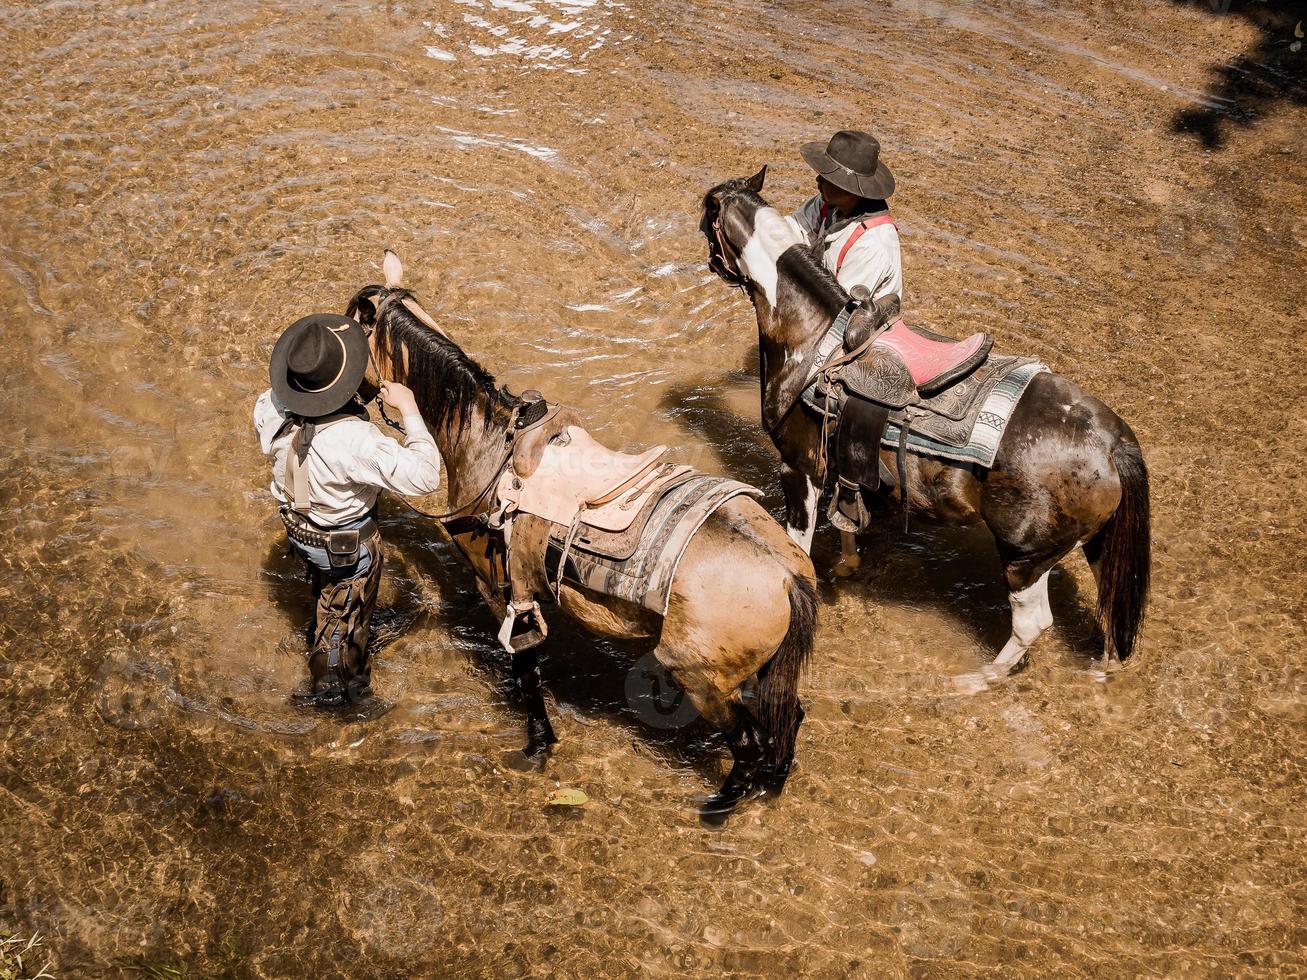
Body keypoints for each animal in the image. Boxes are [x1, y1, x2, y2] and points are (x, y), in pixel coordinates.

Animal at [700, 171, 1150, 689]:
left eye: (708, 217)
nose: (706, 256)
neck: (812, 339)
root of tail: (1112, 443)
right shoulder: (841, 462)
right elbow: (848, 511)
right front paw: (849, 562)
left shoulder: (798, 468)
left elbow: (798, 545)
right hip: (1099, 544)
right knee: (1115, 595)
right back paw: (1102, 666)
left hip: (1024, 557)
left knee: (1034, 622)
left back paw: (980, 679)